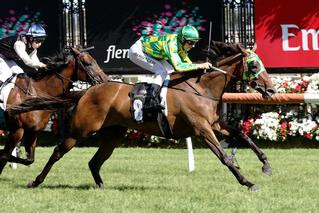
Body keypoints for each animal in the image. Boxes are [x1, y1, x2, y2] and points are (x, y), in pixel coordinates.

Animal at [15, 40, 276, 191]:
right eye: (254, 66)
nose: (272, 90)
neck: (201, 88)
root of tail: (87, 91)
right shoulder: (202, 129)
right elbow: (224, 157)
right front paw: (248, 182)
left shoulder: (215, 124)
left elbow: (243, 135)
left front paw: (266, 165)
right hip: (81, 130)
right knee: (58, 152)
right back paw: (35, 181)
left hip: (114, 134)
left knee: (95, 161)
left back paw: (102, 187)